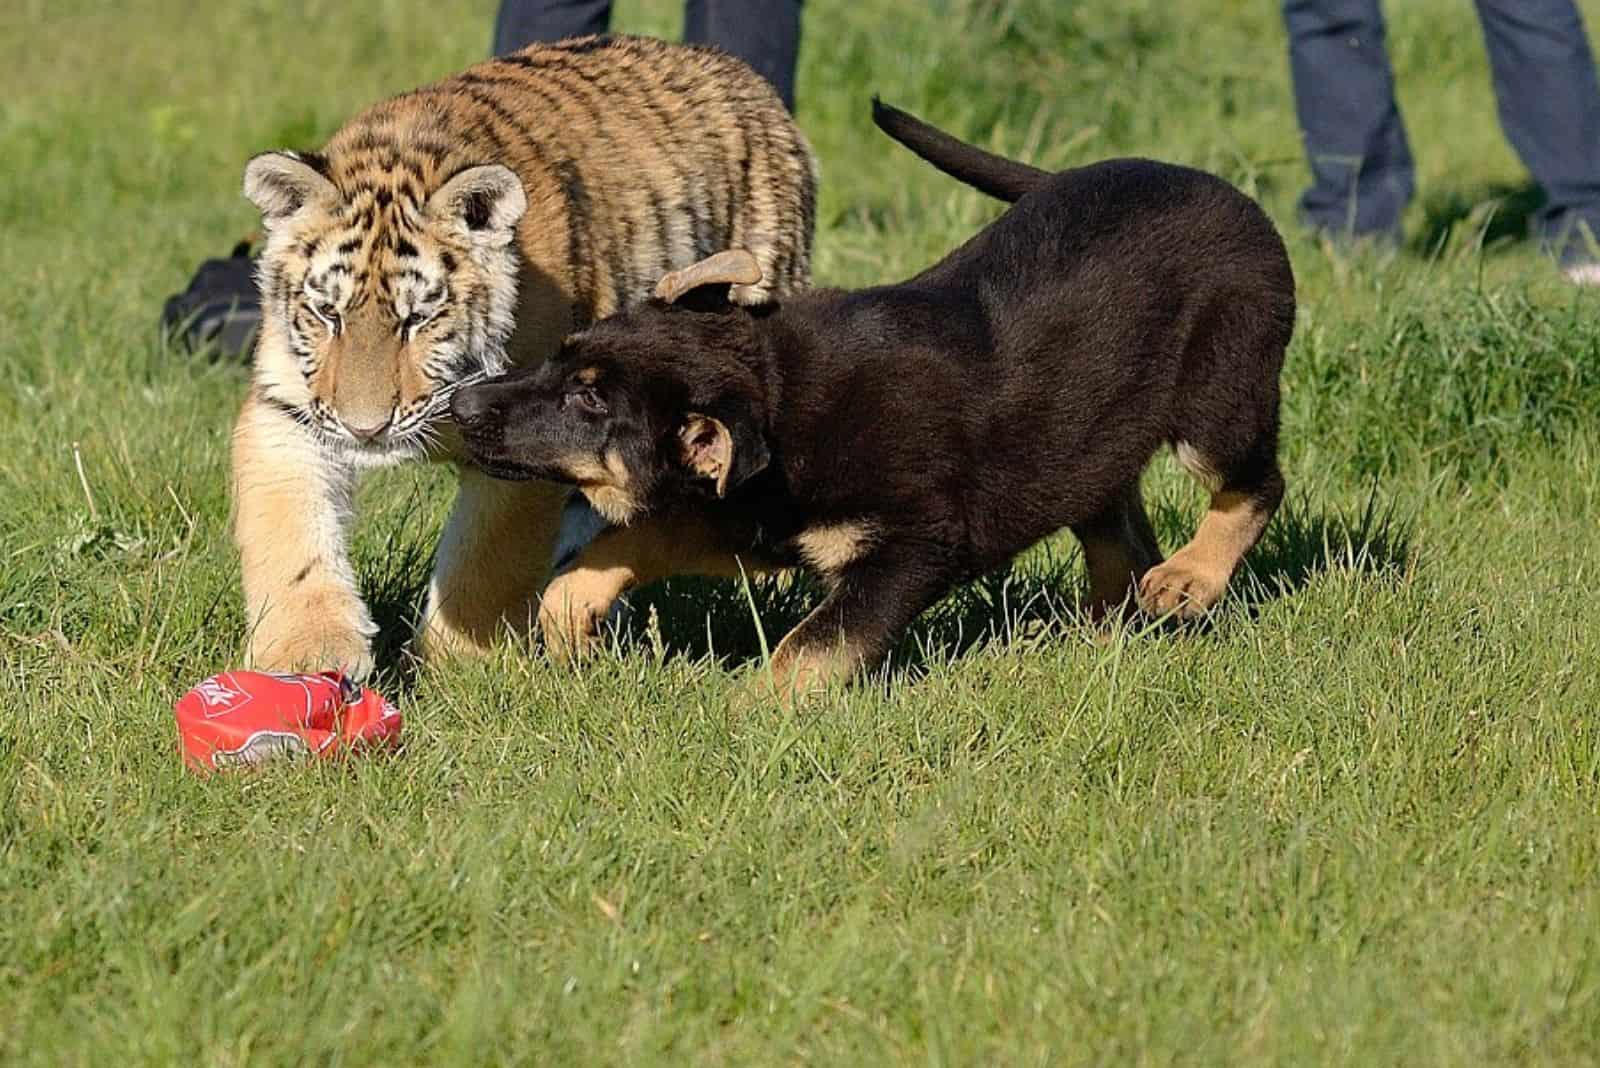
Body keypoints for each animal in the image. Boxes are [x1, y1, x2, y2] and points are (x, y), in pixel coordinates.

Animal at [451, 102, 1299, 700]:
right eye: (561, 358)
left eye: (587, 403)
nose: (461, 408)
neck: (781, 403)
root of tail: (1207, 181)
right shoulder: (751, 521)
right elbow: (622, 544)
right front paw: (567, 618)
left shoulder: (910, 546)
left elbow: (811, 647)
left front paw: (748, 715)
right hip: (1085, 434)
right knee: (1116, 524)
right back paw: (1111, 630)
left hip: (1219, 387)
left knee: (1254, 483)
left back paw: (1189, 580)